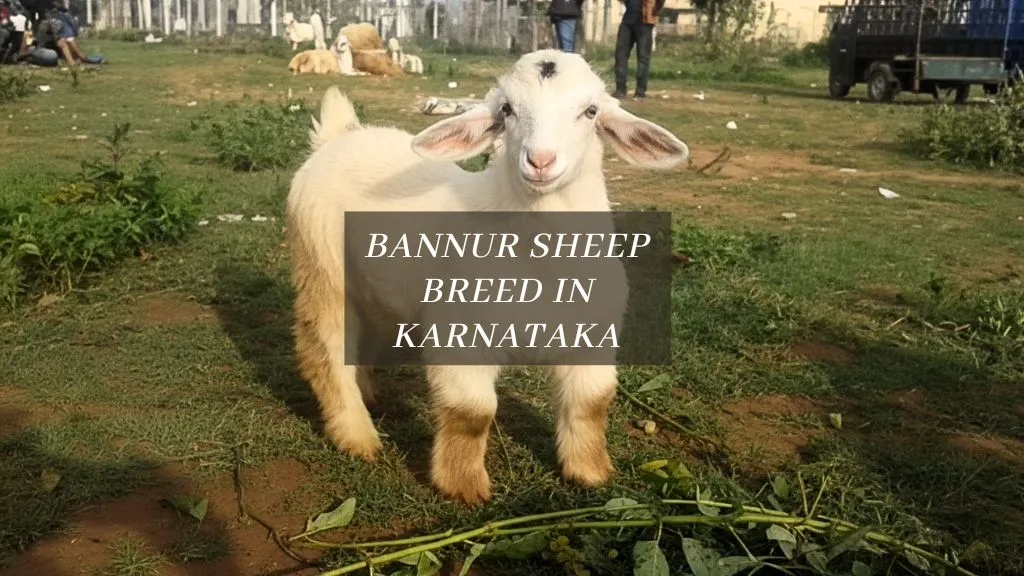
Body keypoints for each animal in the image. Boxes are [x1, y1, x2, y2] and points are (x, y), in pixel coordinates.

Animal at [285, 49, 688, 505]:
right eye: (507, 110)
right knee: (325, 348)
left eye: (590, 111)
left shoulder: (593, 335)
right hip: (323, 268)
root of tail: (336, 138)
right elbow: (472, 412)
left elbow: (591, 402)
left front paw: (592, 473)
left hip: (376, 289)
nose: (540, 160)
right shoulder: (461, 334)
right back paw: (357, 436)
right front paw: (464, 486)